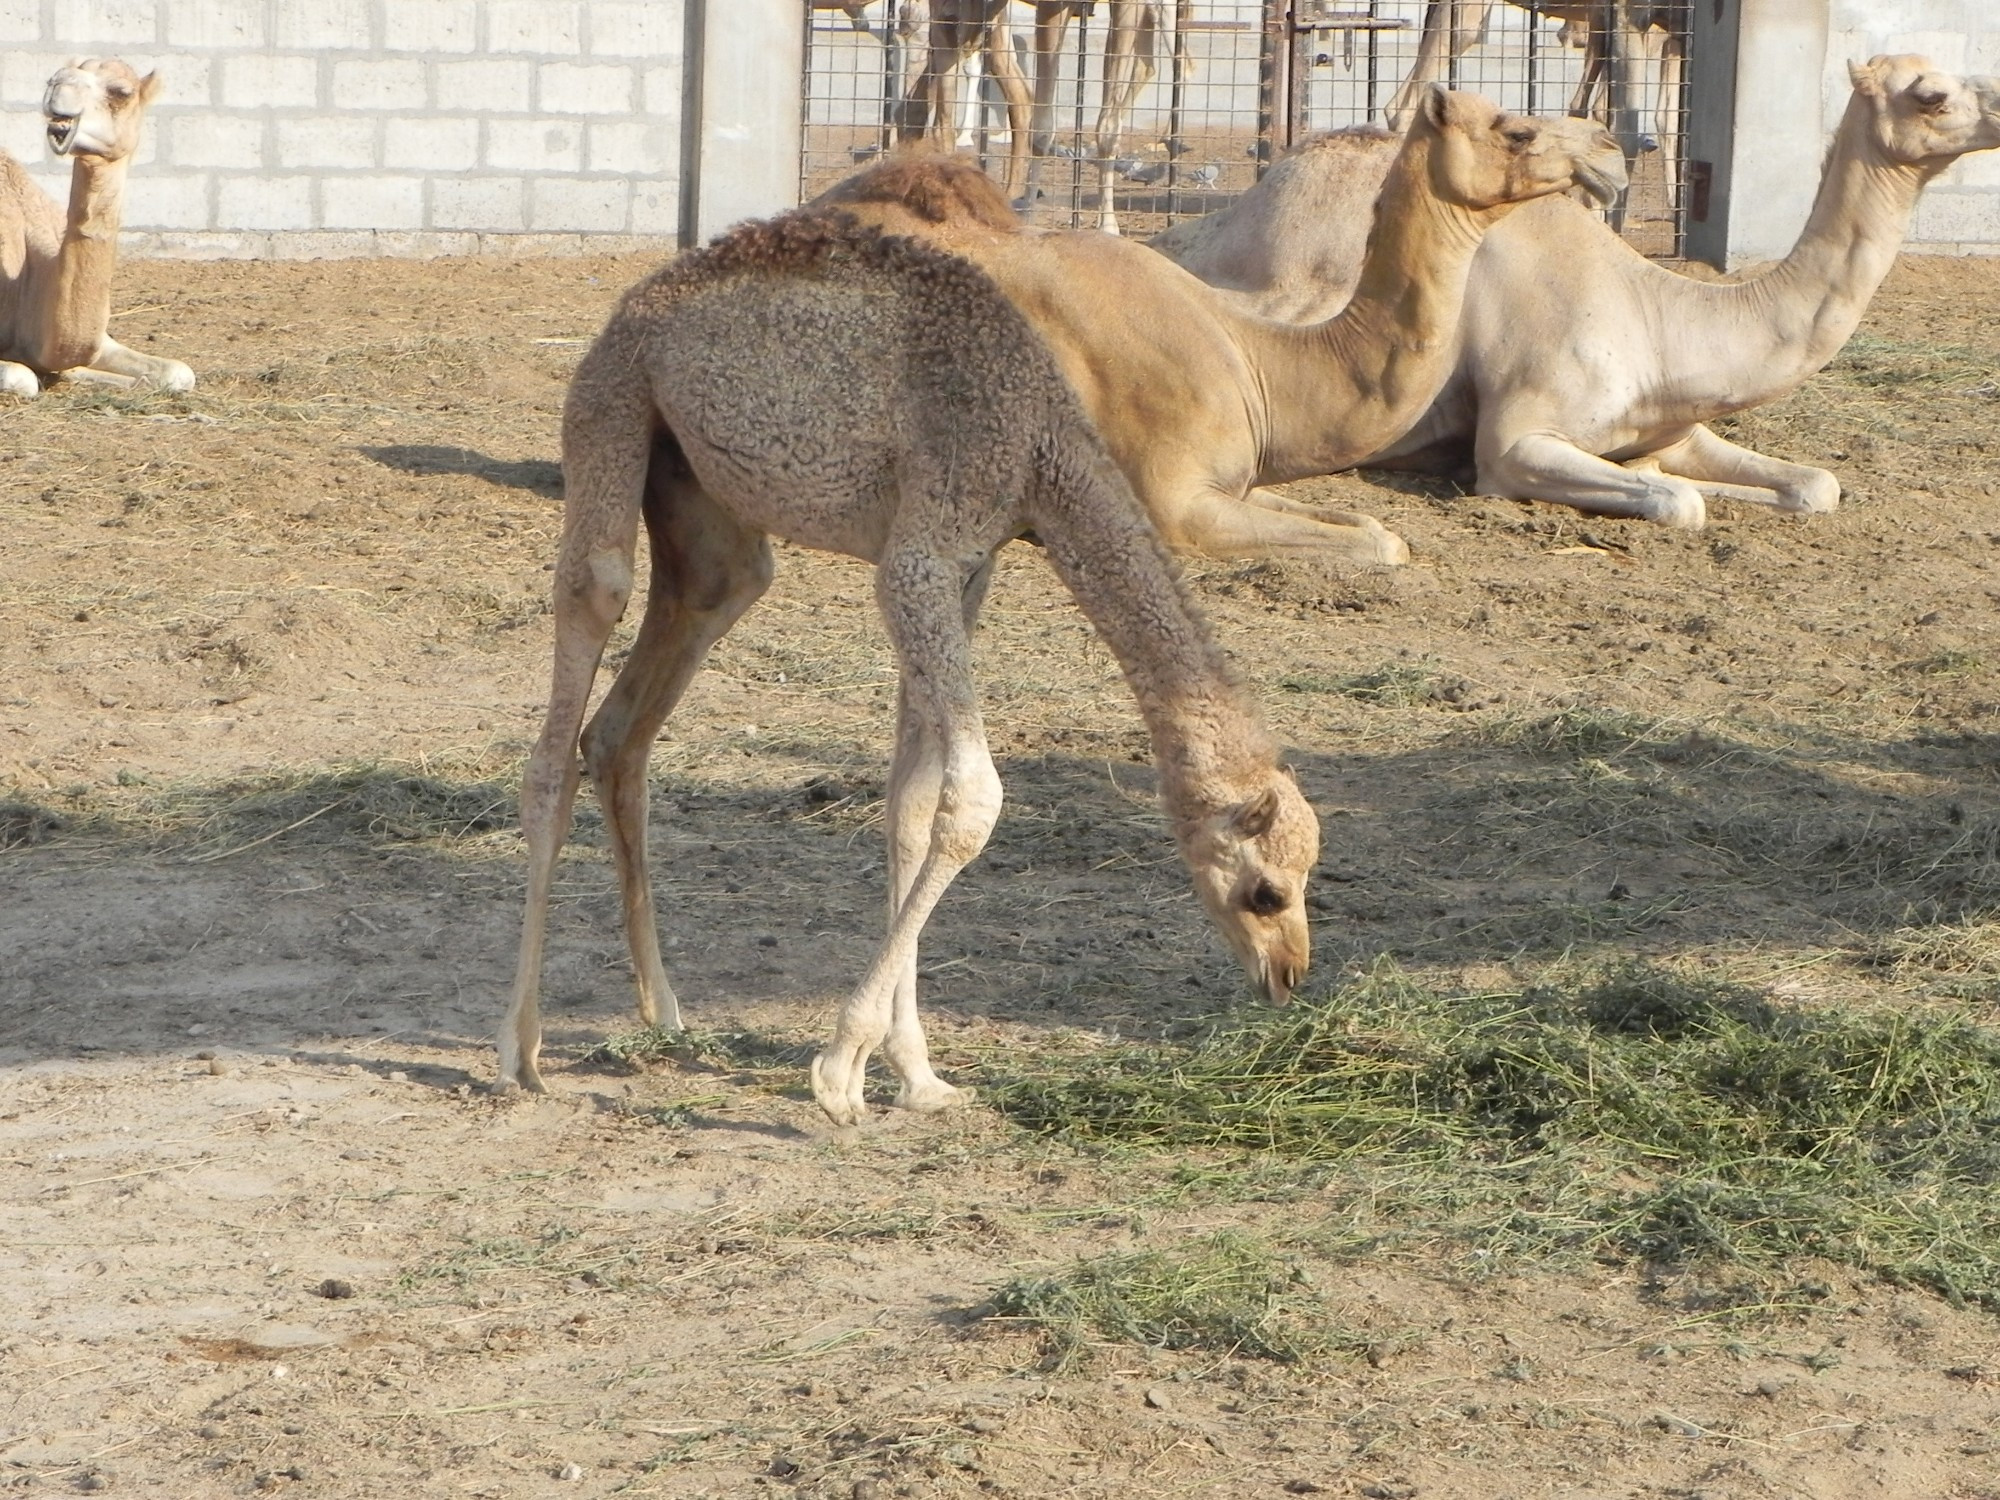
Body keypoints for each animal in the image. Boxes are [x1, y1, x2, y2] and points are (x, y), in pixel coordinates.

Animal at [0, 58, 193, 400]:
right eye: (51, 77)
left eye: (121, 92)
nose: (58, 83)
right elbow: (21, 377)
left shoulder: (98, 341)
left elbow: (180, 372)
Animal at [492, 209, 1320, 1128]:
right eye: (1265, 892)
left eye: (1302, 881)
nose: (1287, 976)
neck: (1039, 443)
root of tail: (629, 306)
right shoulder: (920, 557)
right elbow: (974, 798)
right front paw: (839, 1073)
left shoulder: (966, 569)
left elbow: (914, 802)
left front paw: (916, 1076)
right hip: (612, 402)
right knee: (573, 673)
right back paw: (519, 1051)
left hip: (704, 517)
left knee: (622, 728)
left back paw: (662, 1011)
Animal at [816, 89, 1624, 568]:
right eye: (1517, 130)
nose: (1611, 150)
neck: (1256, 359)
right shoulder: (1174, 504)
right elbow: (1380, 547)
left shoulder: (1234, 481)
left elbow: (1372, 531)